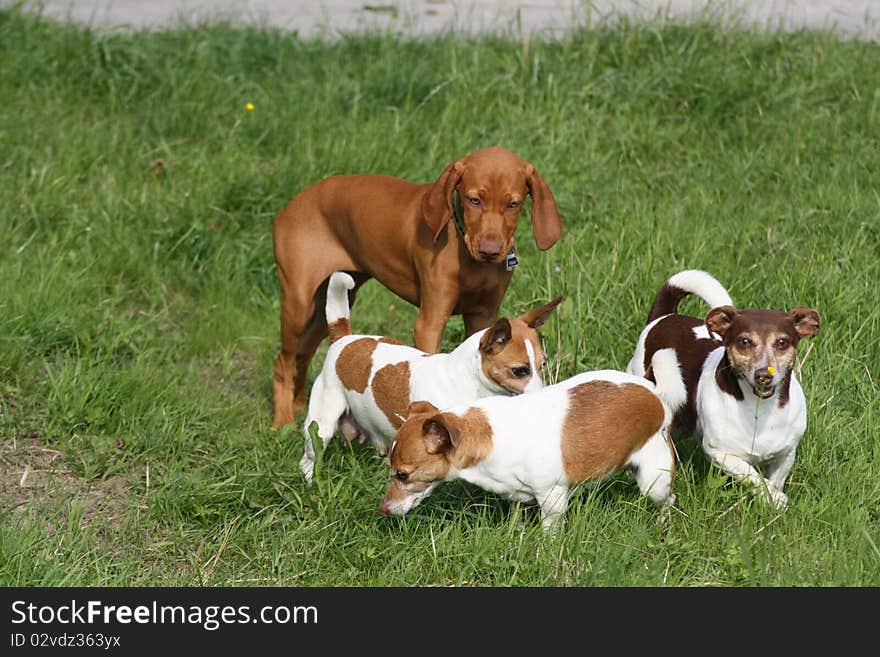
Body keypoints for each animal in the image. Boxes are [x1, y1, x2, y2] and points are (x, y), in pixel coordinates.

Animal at [272, 146, 564, 428]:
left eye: (513, 204)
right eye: (474, 200)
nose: (490, 252)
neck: (467, 255)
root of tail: (294, 202)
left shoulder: (484, 316)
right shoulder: (430, 322)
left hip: (332, 304)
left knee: (304, 353)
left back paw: (299, 404)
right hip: (298, 303)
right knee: (284, 362)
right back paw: (282, 420)